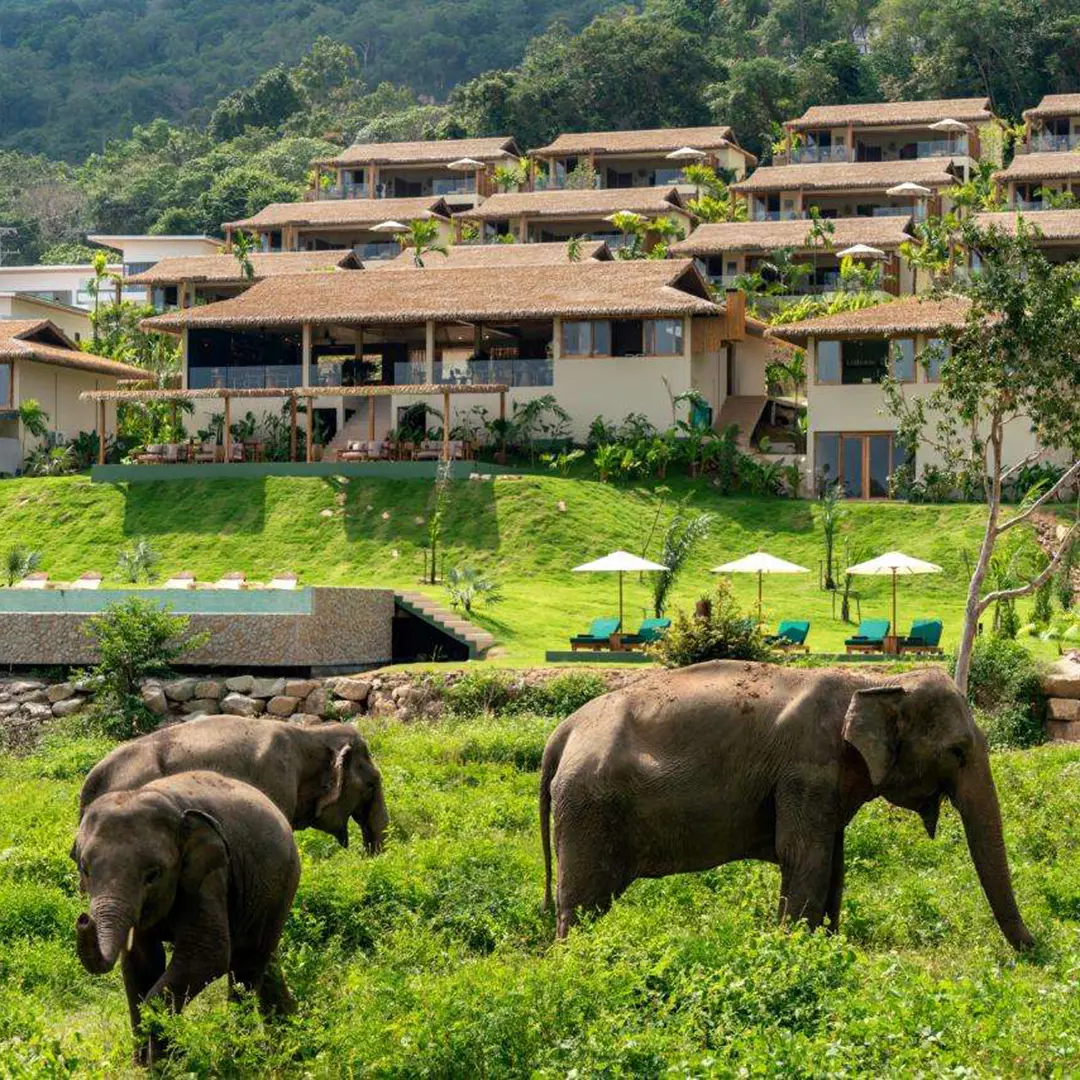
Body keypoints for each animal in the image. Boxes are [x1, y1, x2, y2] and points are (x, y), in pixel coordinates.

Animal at [73, 770, 300, 1065]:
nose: (83, 920)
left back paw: (241, 1052)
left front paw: (163, 1060)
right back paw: (291, 1041)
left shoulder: (209, 875)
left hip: (279, 883)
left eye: (153, 875)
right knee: (265, 959)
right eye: (85, 869)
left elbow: (208, 954)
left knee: (245, 967)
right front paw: (146, 1063)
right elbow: (140, 964)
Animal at [539, 660, 1034, 951]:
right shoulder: (805, 771)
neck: (872, 683)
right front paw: (798, 951)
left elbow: (834, 864)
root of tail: (564, 730)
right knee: (581, 905)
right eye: (957, 751)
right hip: (590, 808)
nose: (1033, 951)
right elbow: (804, 858)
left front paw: (829, 948)